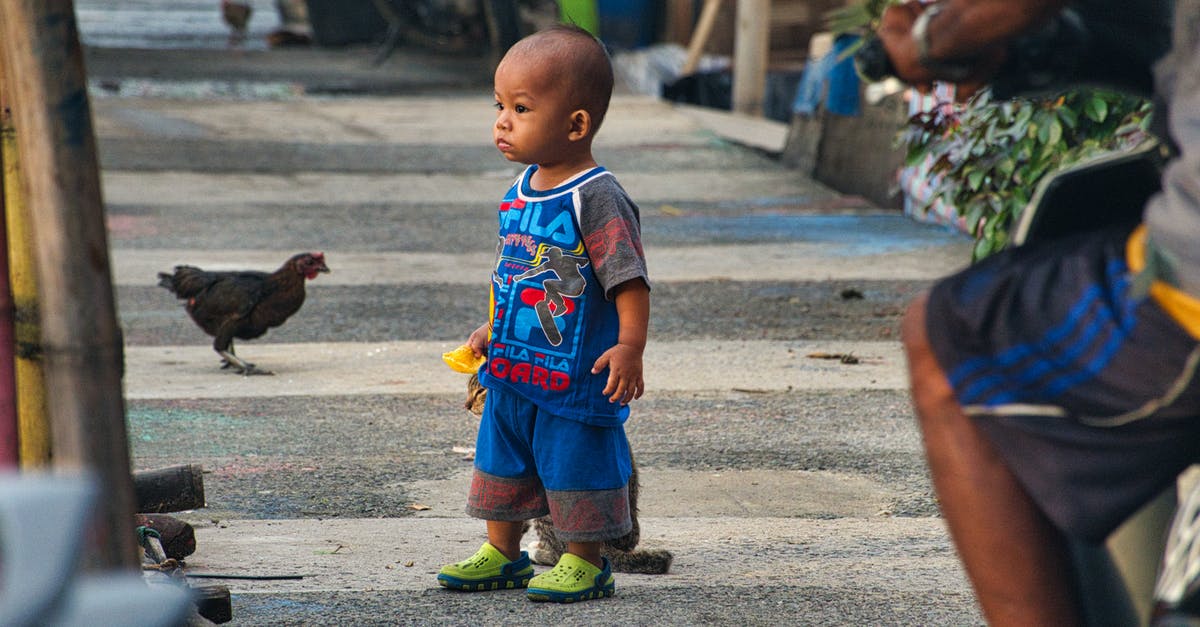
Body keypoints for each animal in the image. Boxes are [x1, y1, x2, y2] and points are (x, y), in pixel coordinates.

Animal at [463, 369, 676, 571]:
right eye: (468, 389)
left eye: (480, 391)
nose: (466, 405)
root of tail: (606, 546)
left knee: (560, 553)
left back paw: (536, 552)